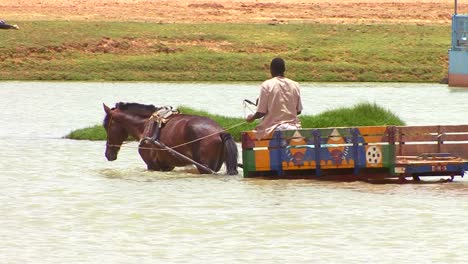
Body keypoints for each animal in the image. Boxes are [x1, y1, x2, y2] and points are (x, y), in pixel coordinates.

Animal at [103, 102, 239, 175]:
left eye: (105, 126)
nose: (108, 154)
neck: (145, 125)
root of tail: (220, 131)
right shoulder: (166, 166)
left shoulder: (152, 165)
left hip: (205, 168)